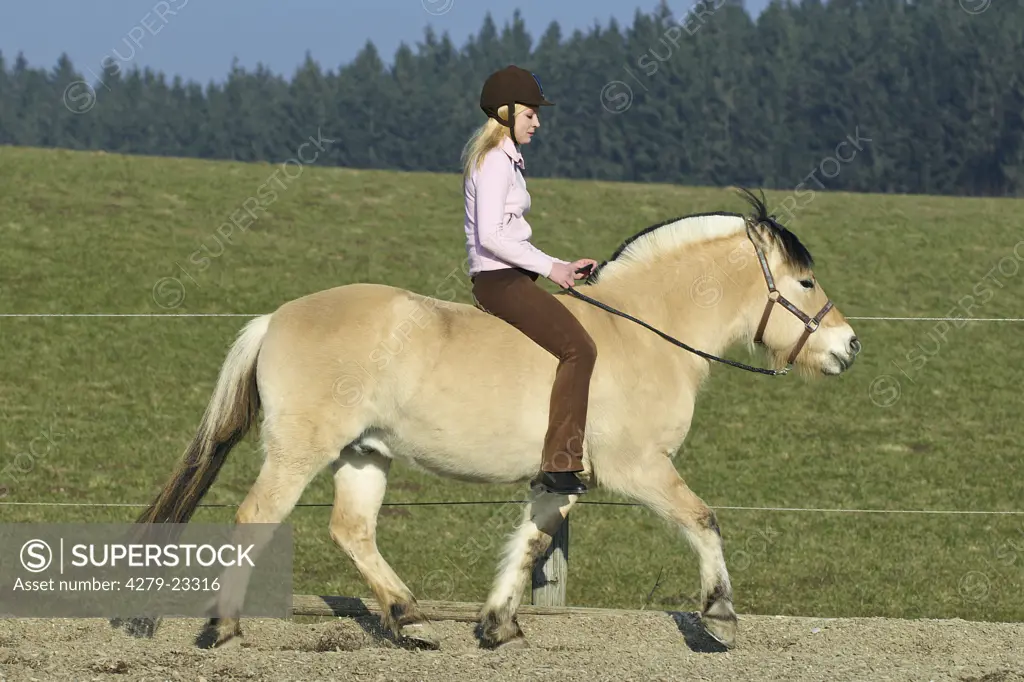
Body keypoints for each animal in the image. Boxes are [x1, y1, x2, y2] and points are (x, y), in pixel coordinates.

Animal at [125, 186, 864, 647]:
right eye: (804, 282)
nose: (848, 346)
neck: (645, 333)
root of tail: (276, 317)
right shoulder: (640, 469)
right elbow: (704, 520)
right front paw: (720, 617)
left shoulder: (561, 479)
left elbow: (532, 542)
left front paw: (497, 624)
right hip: (300, 451)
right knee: (257, 518)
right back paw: (225, 628)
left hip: (366, 452)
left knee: (352, 530)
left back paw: (411, 621)